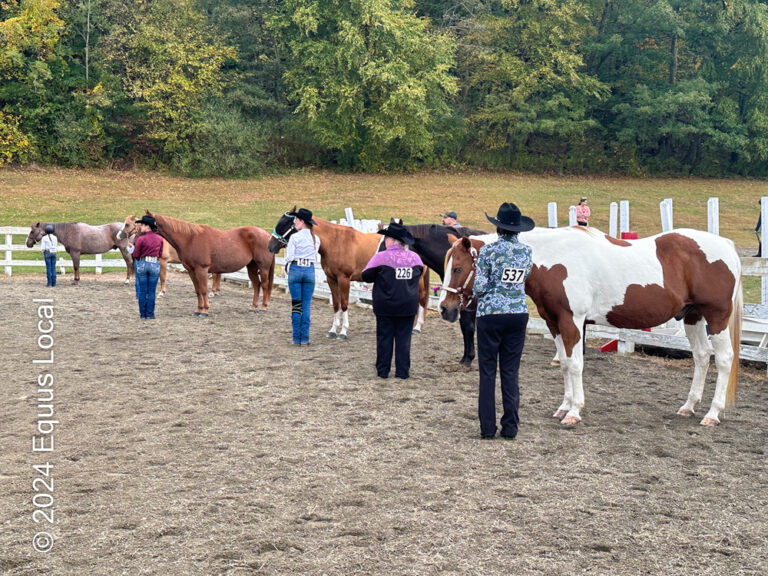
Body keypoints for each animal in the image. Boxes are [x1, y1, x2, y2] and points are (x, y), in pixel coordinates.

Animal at [146, 212, 274, 318]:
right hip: (251, 267)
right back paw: (253, 307)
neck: (190, 239)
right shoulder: (191, 271)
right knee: (256, 285)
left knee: (264, 285)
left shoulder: (202, 270)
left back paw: (263, 307)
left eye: (146, 223)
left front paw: (205, 310)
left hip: (263, 267)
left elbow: (203, 290)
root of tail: (268, 236)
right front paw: (198, 309)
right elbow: (197, 290)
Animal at [440, 227, 740, 430]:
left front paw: (574, 412)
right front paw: (563, 407)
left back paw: (712, 414)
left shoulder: (572, 320)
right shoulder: (553, 322)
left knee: (724, 359)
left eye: (458, 268)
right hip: (693, 316)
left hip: (716, 316)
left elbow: (575, 365)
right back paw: (688, 407)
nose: (445, 308)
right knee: (702, 357)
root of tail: (726, 245)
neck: (555, 259)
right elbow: (564, 364)